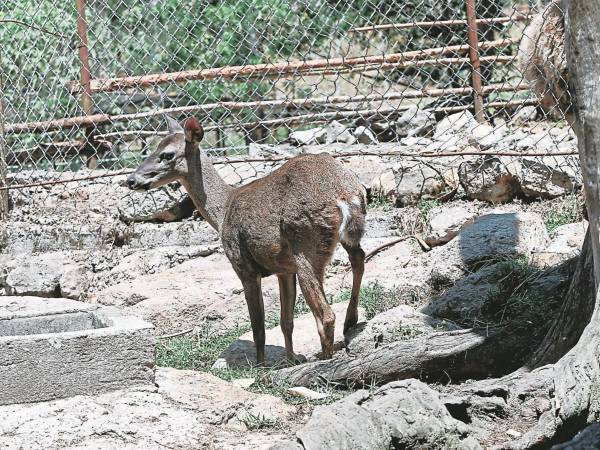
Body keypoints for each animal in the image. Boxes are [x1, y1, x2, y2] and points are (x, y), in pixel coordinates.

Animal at [127, 116, 366, 362]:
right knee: (359, 258)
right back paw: (351, 320)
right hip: (342, 237)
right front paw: (290, 360)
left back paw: (326, 356)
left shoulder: (243, 266)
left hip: (305, 243)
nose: (131, 180)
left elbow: (257, 325)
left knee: (325, 315)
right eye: (155, 148)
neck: (223, 211)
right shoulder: (283, 269)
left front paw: (261, 364)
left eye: (167, 155)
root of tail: (344, 195)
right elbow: (285, 322)